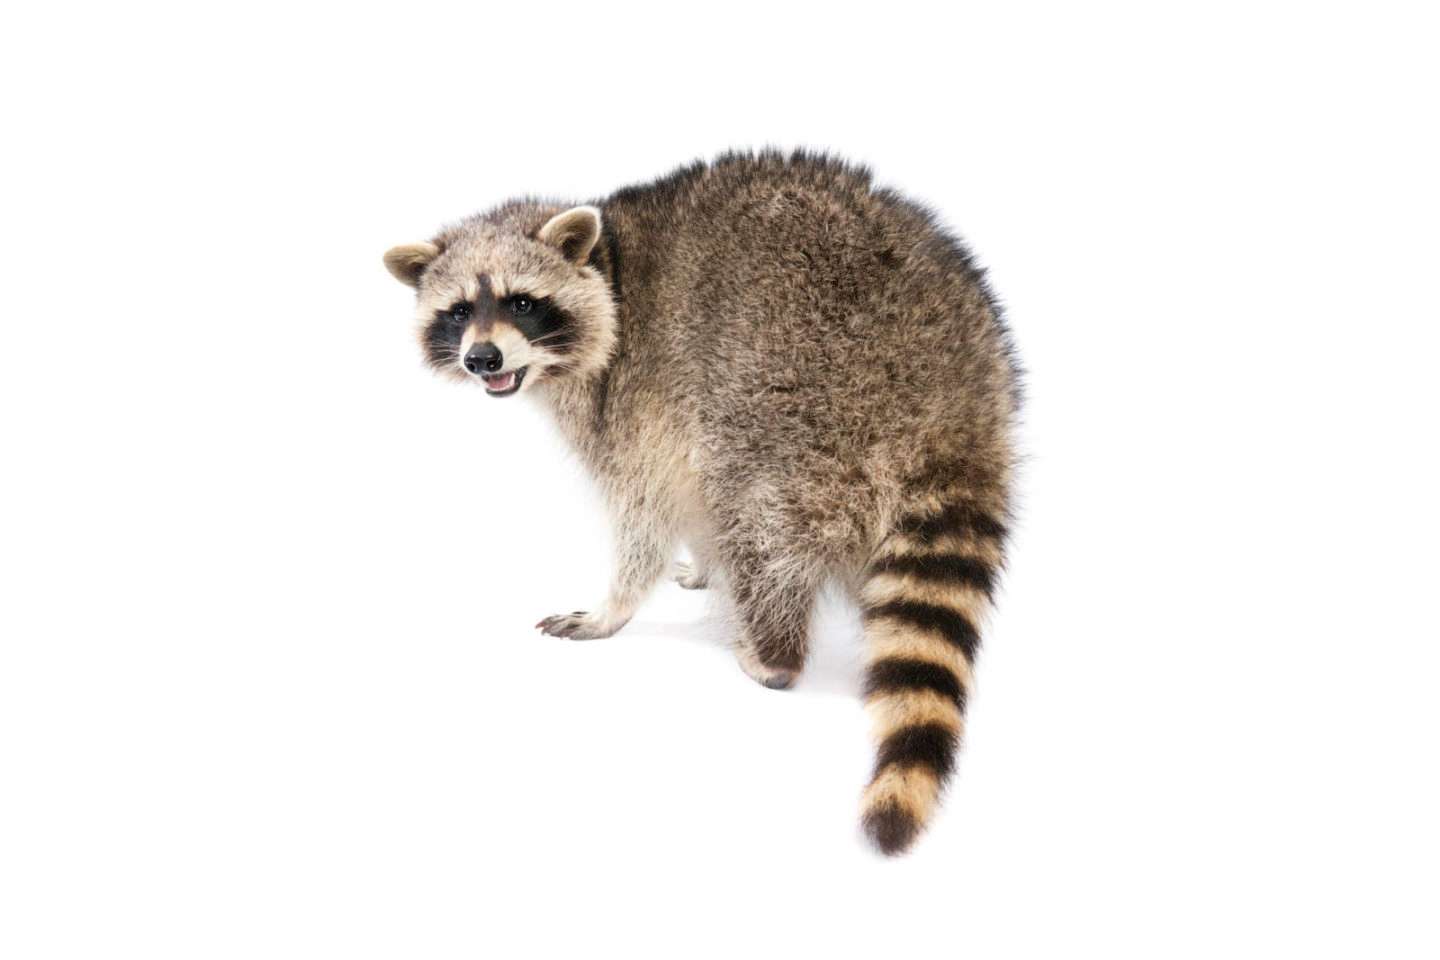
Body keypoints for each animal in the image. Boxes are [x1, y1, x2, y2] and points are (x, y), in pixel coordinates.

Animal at [384, 151, 1021, 855]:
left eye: (522, 302)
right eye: (458, 310)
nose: (482, 357)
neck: (610, 263)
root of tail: (955, 405)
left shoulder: (633, 394)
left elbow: (646, 511)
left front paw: (617, 604)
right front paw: (702, 563)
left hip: (805, 398)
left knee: (756, 512)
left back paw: (770, 651)